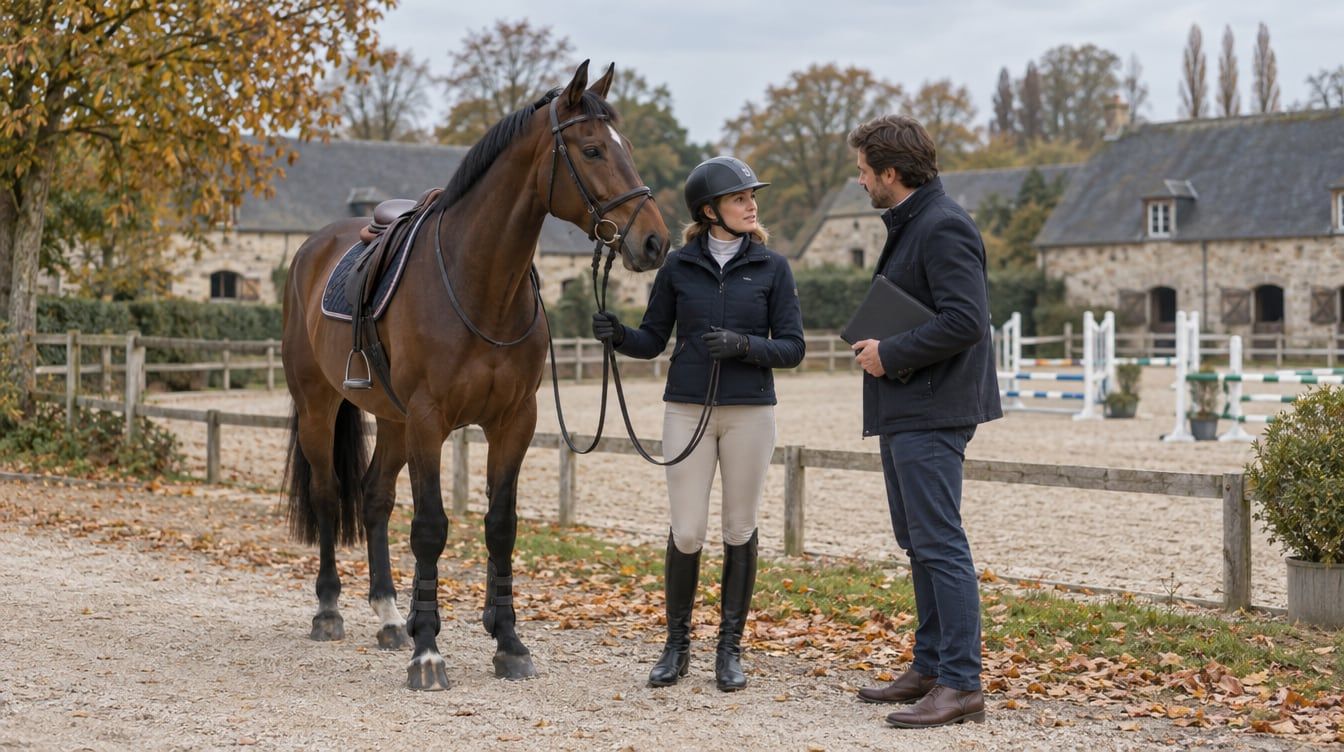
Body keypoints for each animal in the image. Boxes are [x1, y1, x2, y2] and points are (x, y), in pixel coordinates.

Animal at [280, 61, 670, 690]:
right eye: (591, 149)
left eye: (627, 148)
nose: (655, 241)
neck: (478, 283)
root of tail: (313, 248)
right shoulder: (429, 421)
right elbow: (431, 528)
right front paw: (428, 653)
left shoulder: (513, 421)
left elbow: (500, 526)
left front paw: (508, 642)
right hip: (321, 406)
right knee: (328, 495)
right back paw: (329, 611)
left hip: (392, 422)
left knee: (374, 498)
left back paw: (389, 616)